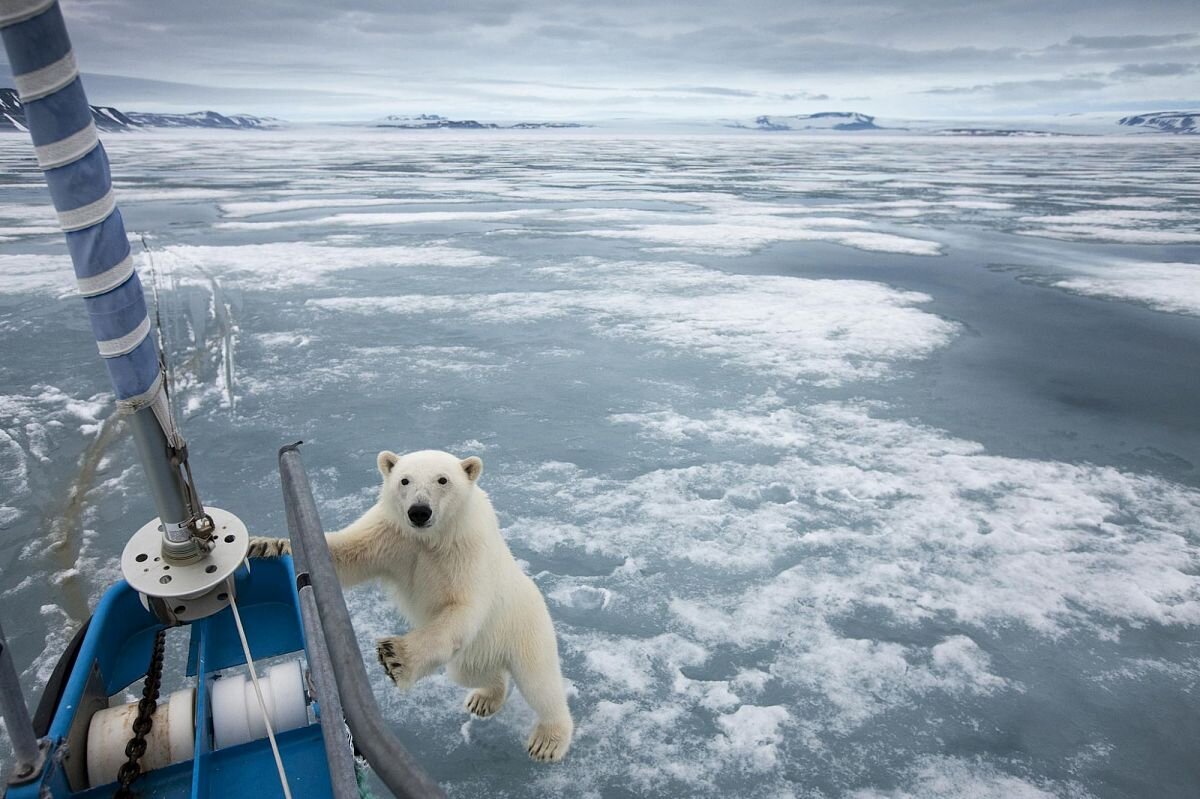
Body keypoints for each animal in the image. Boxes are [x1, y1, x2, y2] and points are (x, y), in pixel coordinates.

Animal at [246, 448, 573, 758]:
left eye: (443, 480)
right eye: (404, 480)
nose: (419, 512)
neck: (432, 538)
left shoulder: (467, 550)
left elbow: (462, 608)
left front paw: (396, 657)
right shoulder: (392, 534)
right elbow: (344, 555)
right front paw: (266, 545)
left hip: (525, 629)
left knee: (540, 684)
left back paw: (548, 740)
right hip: (477, 651)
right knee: (471, 672)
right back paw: (484, 698)